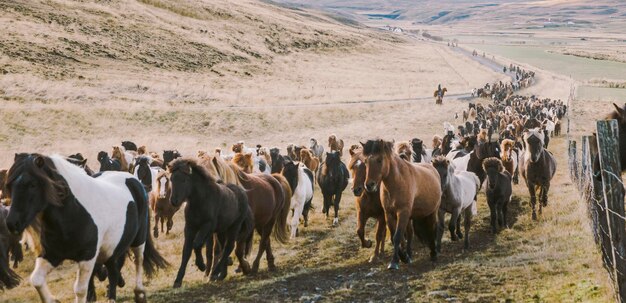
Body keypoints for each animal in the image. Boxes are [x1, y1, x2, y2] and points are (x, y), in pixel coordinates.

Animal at [3, 154, 168, 303]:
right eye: (10, 186)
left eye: (32, 184)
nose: (12, 223)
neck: (73, 212)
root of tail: (134, 181)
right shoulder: (51, 255)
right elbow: (36, 280)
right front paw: (54, 299)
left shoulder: (87, 256)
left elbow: (81, 290)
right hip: (112, 248)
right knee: (113, 272)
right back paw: (112, 296)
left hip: (138, 240)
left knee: (138, 261)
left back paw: (139, 293)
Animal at [358, 139, 442, 270]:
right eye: (366, 161)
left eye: (379, 160)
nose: (369, 185)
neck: (397, 182)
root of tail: (432, 169)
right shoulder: (389, 214)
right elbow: (394, 237)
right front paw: (404, 257)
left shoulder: (402, 213)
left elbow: (397, 236)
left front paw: (394, 262)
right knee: (412, 232)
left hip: (432, 212)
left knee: (431, 228)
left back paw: (433, 253)